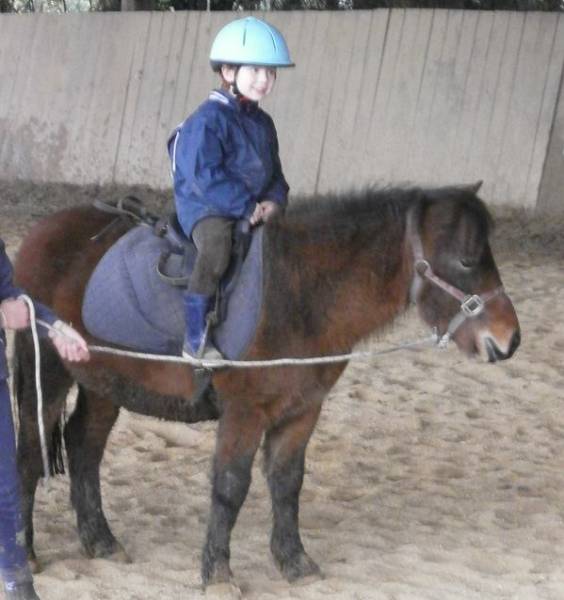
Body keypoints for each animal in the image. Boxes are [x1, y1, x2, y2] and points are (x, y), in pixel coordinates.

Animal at [13, 183, 520, 590]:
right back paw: (27, 553)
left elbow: (287, 482)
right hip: (48, 372)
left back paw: (100, 541)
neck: (297, 292)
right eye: (467, 259)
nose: (509, 339)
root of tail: (45, 233)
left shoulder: (302, 411)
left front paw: (295, 562)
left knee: (84, 446)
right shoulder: (245, 411)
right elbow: (230, 486)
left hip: (103, 382)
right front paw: (218, 574)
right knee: (30, 453)